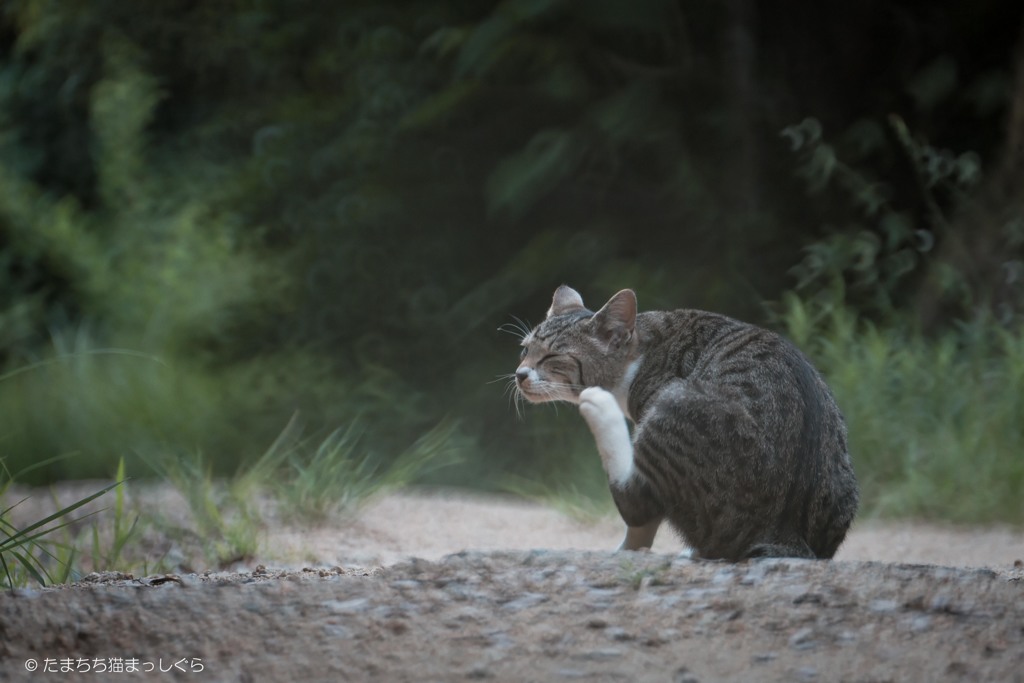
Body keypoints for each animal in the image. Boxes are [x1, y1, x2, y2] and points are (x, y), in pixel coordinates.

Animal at [512, 286, 856, 561]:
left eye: (552, 357)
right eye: (525, 350)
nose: (519, 374)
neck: (641, 355)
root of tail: (788, 536)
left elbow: (643, 516)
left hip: (673, 402)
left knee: (636, 502)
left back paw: (599, 405)